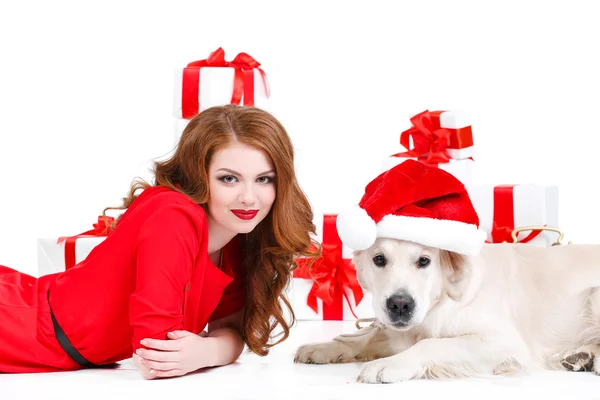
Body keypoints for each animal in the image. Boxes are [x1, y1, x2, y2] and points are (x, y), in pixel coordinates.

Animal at [292, 239, 600, 382]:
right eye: (379, 259)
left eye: (424, 261)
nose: (400, 305)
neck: (441, 298)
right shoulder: (398, 330)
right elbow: (366, 337)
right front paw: (323, 347)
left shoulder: (506, 343)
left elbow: (430, 344)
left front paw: (387, 364)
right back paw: (580, 357)